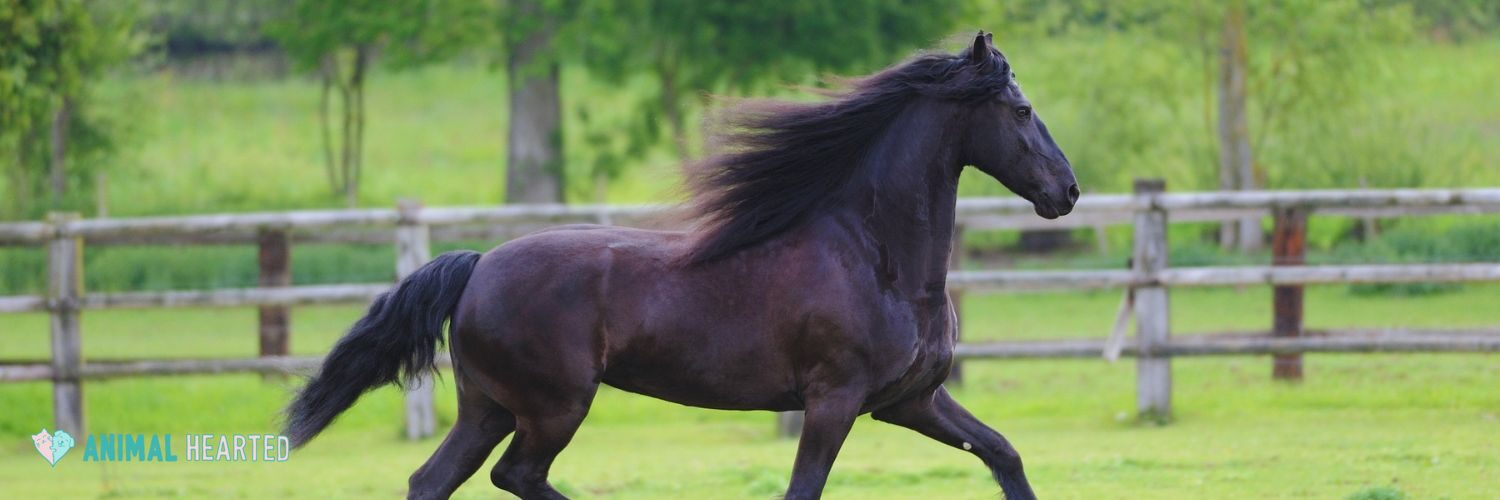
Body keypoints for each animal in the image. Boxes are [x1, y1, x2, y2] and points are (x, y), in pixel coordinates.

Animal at [284, 31, 1077, 500]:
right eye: (1021, 109)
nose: (1066, 192)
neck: (878, 261)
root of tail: (477, 267)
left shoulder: (910, 401)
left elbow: (1004, 455)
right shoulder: (834, 400)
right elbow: (803, 490)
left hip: (489, 406)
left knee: (432, 481)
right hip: (552, 405)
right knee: (517, 475)